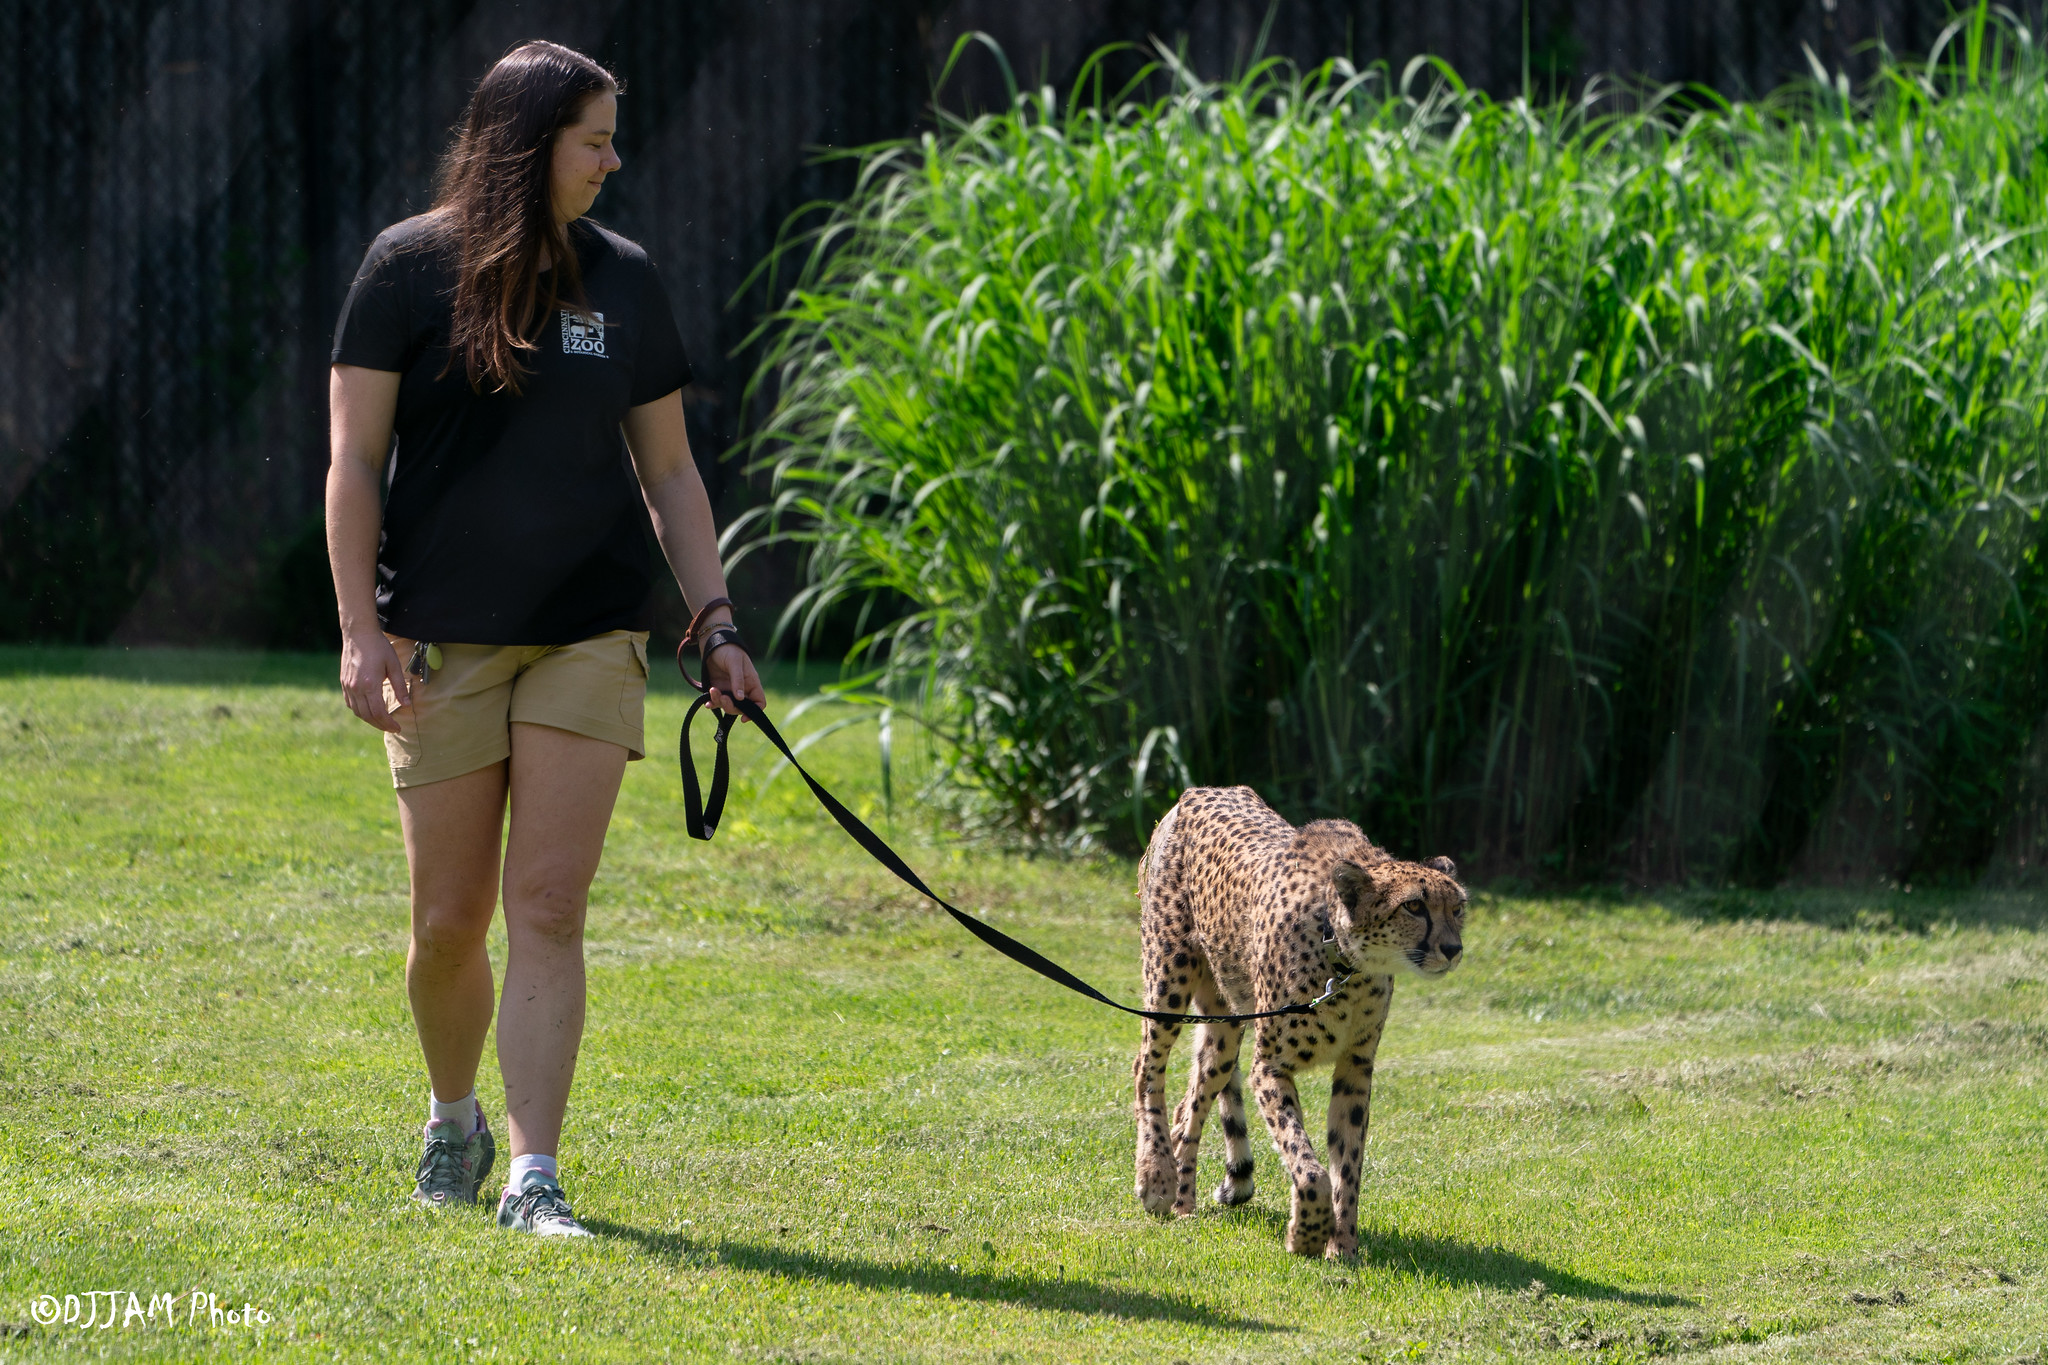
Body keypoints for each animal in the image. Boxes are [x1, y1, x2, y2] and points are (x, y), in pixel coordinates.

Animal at [1131, 785, 1467, 1260]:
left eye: (1458, 908)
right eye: (1414, 906)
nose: (1453, 949)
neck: (1346, 962)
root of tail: (1201, 791)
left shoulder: (1355, 1068)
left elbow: (1347, 1163)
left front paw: (1342, 1246)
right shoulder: (1269, 1066)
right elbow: (1310, 1168)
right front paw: (1306, 1235)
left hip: (1227, 1025)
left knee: (1192, 1101)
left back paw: (1184, 1202)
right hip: (1169, 978)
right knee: (1147, 1068)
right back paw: (1156, 1176)